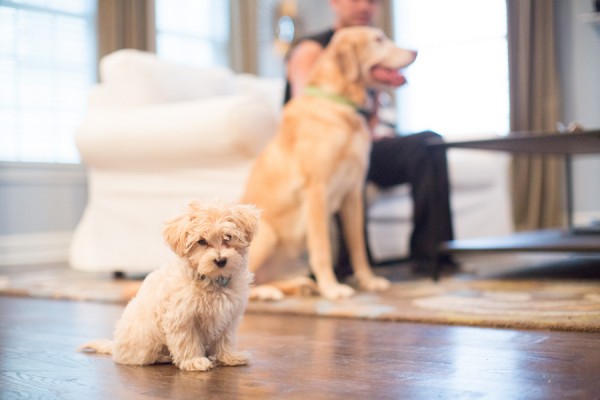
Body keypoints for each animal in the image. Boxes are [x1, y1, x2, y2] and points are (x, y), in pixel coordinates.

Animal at [78, 201, 260, 372]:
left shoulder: (229, 315)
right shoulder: (182, 317)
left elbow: (225, 339)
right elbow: (187, 340)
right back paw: (163, 357)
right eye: (201, 241)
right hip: (144, 343)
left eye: (228, 237)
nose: (221, 260)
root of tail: (115, 346)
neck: (212, 280)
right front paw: (194, 361)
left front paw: (229, 357)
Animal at [241, 27, 417, 301]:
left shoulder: (353, 194)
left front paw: (368, 281)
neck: (339, 105)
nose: (415, 52)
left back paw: (298, 285)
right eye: (378, 40)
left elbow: (358, 248)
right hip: (267, 234)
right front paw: (331, 287)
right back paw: (270, 292)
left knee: (261, 278)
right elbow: (322, 247)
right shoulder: (316, 190)